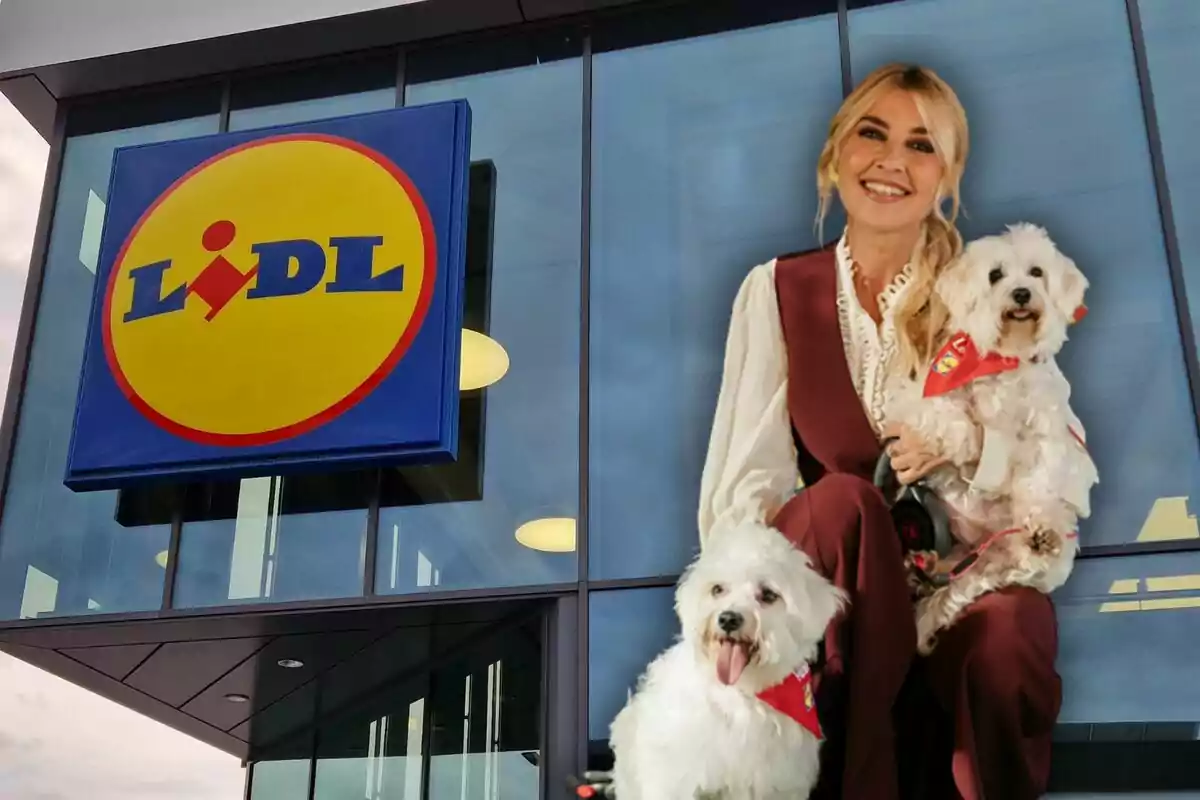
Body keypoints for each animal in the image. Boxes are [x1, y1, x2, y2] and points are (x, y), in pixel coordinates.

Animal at [609, 520, 844, 800]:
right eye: (717, 589)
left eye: (768, 595)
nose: (729, 618)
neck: (742, 691)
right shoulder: (680, 778)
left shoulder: (779, 783)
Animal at [888, 221, 1099, 652]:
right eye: (995, 275)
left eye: (1036, 272)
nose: (1021, 293)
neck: (1002, 359)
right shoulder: (919, 398)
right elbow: (947, 416)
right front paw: (968, 438)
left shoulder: (1051, 432)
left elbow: (1041, 479)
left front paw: (1040, 526)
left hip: (1001, 566)